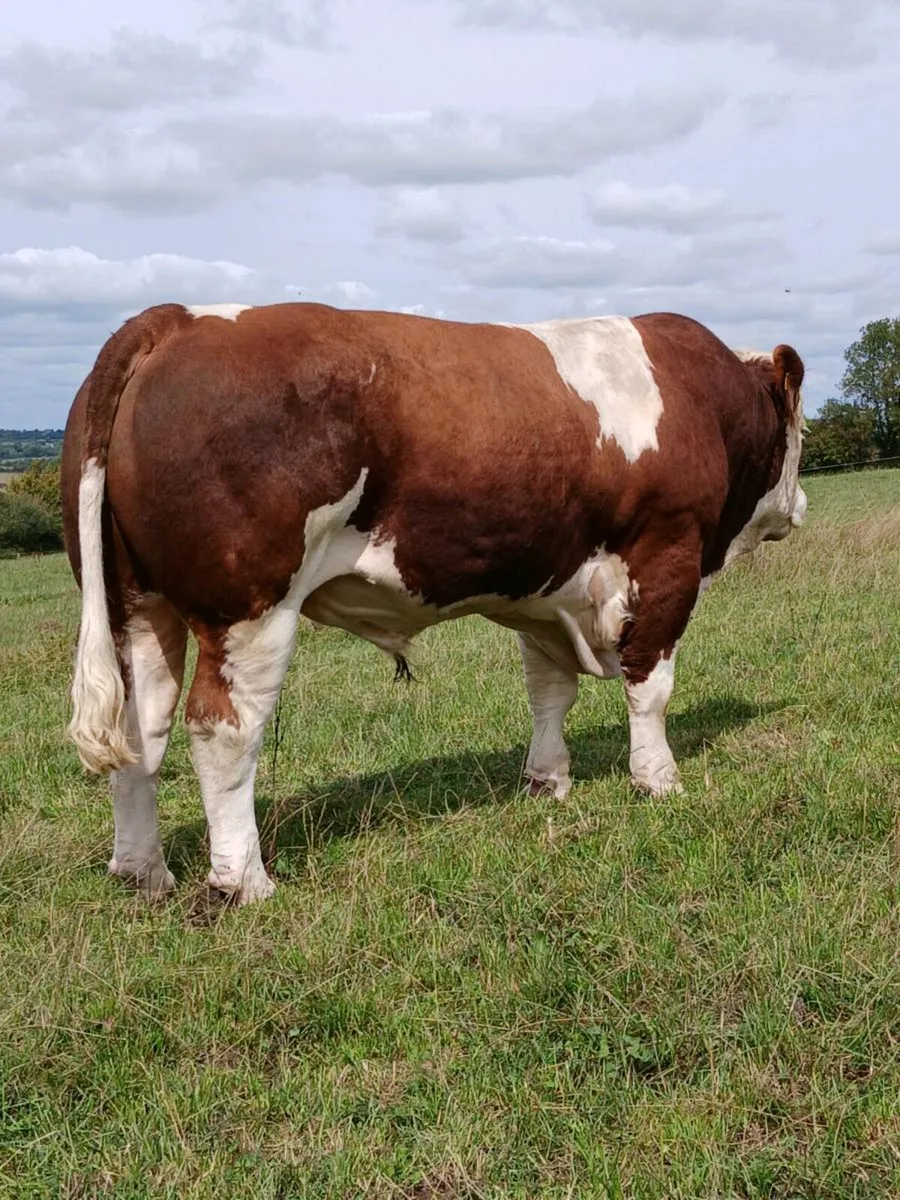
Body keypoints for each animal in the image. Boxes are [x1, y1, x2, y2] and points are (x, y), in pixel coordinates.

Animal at [60, 303, 806, 905]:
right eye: (797, 430)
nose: (799, 503)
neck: (702, 399)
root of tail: (177, 319)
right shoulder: (668, 556)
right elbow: (650, 685)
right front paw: (658, 781)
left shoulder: (545, 589)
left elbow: (549, 691)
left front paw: (546, 782)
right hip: (247, 609)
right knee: (223, 728)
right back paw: (244, 880)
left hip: (138, 606)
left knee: (139, 728)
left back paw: (144, 872)